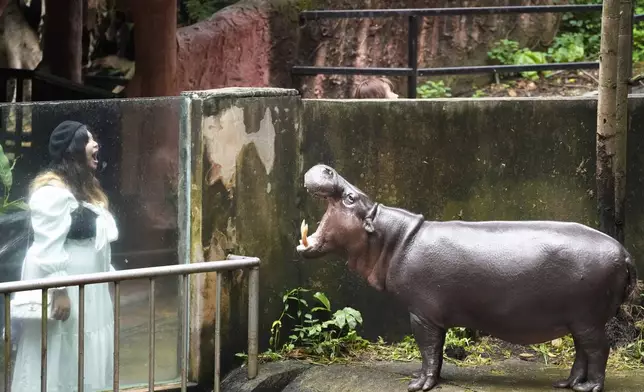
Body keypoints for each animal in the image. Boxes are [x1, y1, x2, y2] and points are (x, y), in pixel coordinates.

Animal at [296, 164, 640, 392]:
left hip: (588, 319)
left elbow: (428, 350)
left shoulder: (421, 314)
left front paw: (418, 384)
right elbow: (437, 352)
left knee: (599, 350)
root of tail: (625, 252)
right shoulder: (435, 316)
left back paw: (589, 388)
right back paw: (567, 383)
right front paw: (436, 379)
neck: (391, 238)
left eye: (351, 198)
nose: (326, 167)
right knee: (583, 352)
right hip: (579, 320)